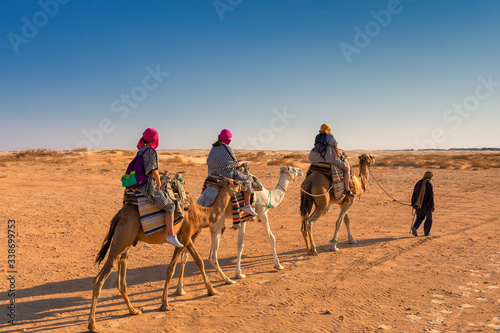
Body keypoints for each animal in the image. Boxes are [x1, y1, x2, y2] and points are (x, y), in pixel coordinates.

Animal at [88, 178, 242, 330]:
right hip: (122, 239)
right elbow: (179, 266)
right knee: (100, 279)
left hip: (127, 243)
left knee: (121, 275)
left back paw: (134, 310)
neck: (199, 213)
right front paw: (166, 304)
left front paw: (209, 290)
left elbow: (190, 263)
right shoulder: (184, 237)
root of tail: (118, 215)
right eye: (234, 182)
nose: (242, 186)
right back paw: (93, 324)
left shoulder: (184, 238)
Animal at [174, 164, 302, 294]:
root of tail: (203, 200)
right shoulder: (262, 214)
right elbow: (270, 238)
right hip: (217, 224)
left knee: (185, 254)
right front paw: (277, 265)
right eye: (291, 168)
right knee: (212, 256)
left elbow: (241, 244)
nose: (300, 170)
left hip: (196, 226)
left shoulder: (243, 219)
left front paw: (239, 272)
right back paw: (226, 281)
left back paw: (180, 288)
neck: (269, 197)